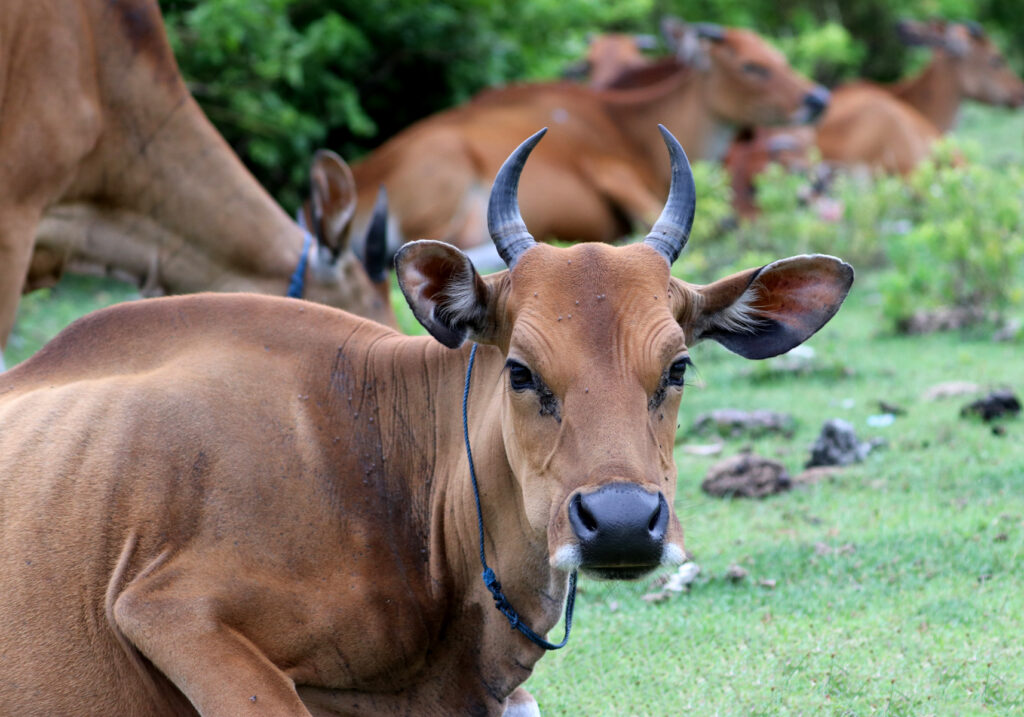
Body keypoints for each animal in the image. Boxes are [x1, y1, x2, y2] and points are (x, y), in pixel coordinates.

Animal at [345, 19, 829, 259]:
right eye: (752, 65)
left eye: (778, 55)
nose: (819, 97)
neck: (628, 124)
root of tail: (360, 177)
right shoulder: (613, 174)